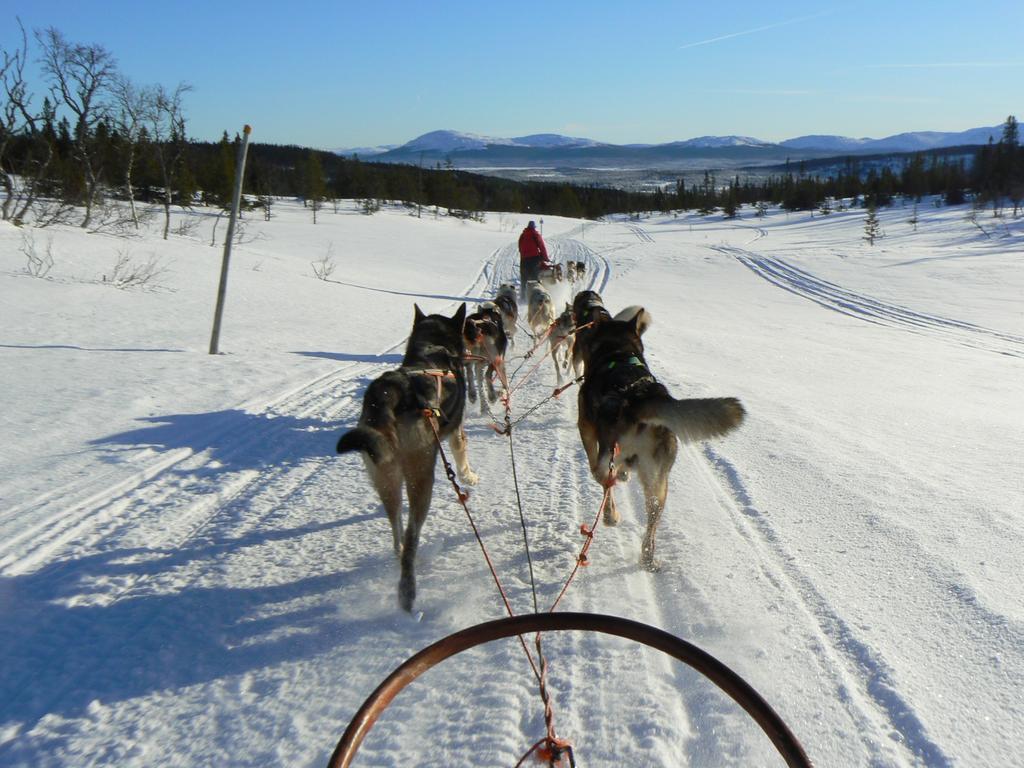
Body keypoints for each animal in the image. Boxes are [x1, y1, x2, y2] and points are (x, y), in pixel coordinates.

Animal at [337, 303, 477, 610]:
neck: (432, 347)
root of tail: (391, 389)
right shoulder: (456, 432)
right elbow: (462, 455)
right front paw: (469, 477)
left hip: (386, 477)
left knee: (396, 531)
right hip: (422, 478)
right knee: (411, 538)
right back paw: (407, 592)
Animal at [577, 301, 745, 573]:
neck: (618, 353)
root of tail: (641, 396)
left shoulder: (586, 430)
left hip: (608, 458)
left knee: (605, 483)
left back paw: (612, 516)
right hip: (659, 484)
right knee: (652, 520)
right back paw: (648, 559)